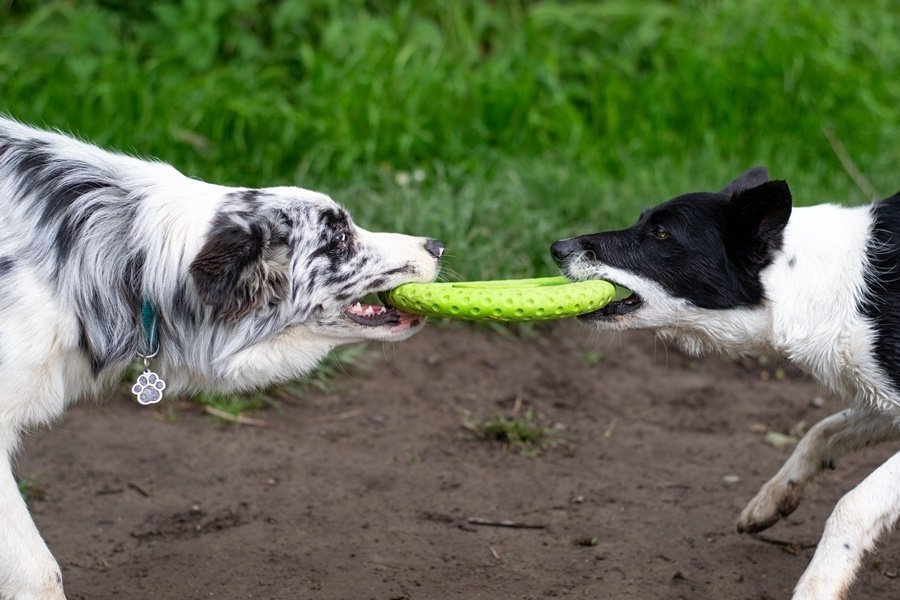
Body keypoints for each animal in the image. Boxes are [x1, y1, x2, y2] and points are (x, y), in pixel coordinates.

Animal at [556, 169, 900, 600]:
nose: (556, 247)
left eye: (662, 233)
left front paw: (817, 586)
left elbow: (852, 504)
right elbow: (819, 433)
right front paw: (773, 498)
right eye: (641, 221)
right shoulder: (881, 401)